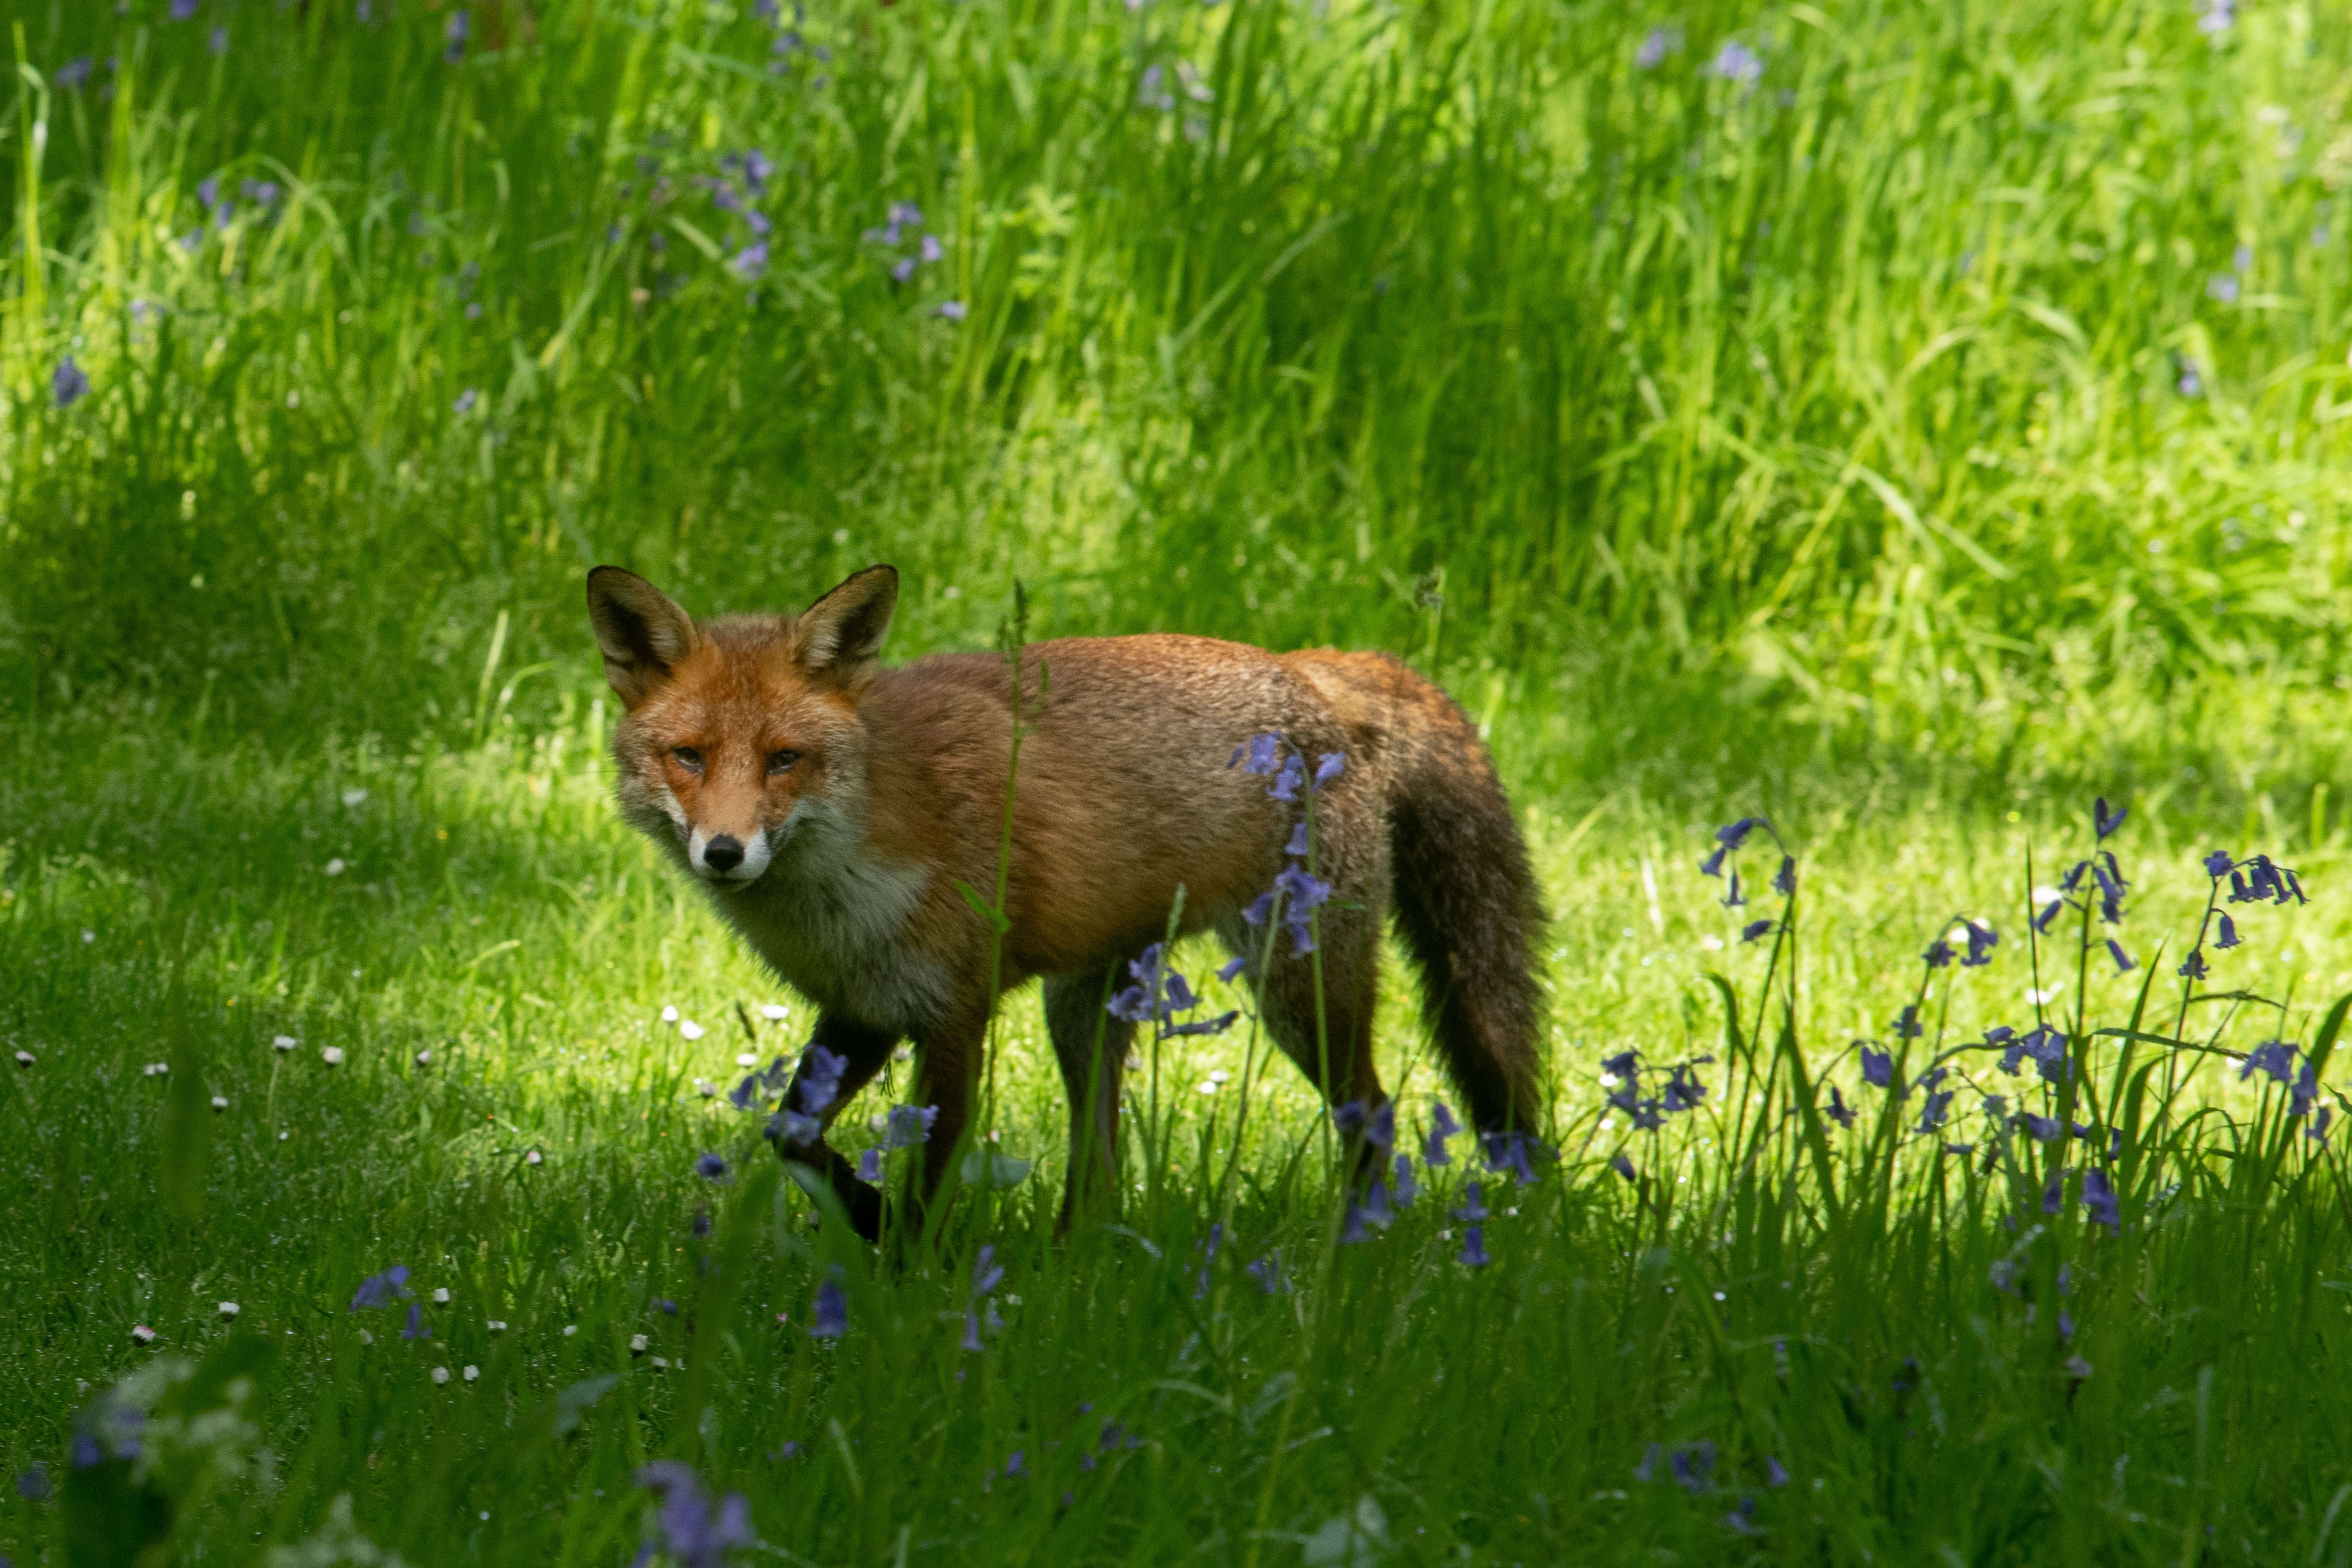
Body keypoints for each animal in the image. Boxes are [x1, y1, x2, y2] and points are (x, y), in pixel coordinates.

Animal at [588, 564, 1543, 1241]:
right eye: (688, 756)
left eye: (783, 759)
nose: (723, 852)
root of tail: (1307, 666)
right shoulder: (863, 1007)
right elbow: (790, 1136)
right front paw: (867, 1214)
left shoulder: (952, 1012)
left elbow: (931, 1174)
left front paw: (905, 1279)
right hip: (1083, 1011)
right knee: (1101, 1167)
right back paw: (1065, 1265)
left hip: (1298, 986)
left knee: (1372, 1116)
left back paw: (1353, 1244)